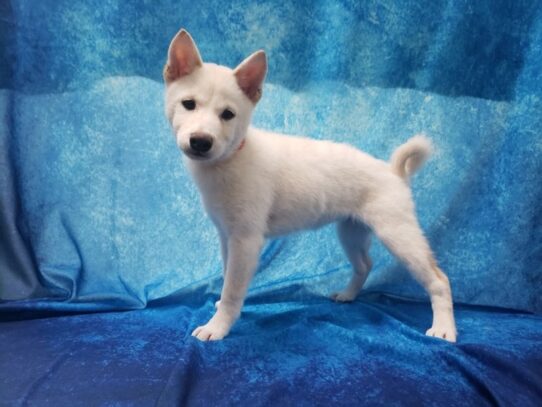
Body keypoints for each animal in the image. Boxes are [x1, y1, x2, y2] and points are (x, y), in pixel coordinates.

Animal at [166, 28, 460, 342]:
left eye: (228, 115)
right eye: (188, 104)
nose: (200, 141)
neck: (231, 158)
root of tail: (392, 171)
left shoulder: (245, 241)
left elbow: (233, 288)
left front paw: (217, 326)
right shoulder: (227, 237)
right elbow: (227, 278)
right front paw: (221, 305)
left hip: (399, 235)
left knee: (439, 279)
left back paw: (444, 328)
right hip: (351, 232)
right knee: (365, 265)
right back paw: (348, 295)